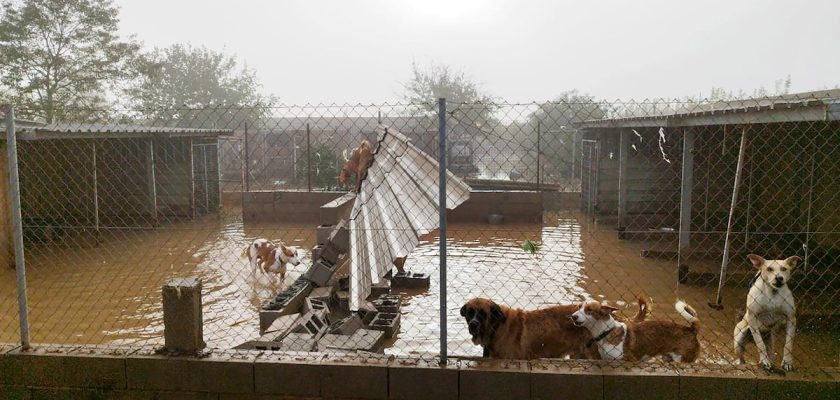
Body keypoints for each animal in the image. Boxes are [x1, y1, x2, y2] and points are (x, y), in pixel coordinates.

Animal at [572, 296, 704, 362]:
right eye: (579, 307)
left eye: (589, 310)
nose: (573, 316)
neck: (607, 332)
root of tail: (691, 329)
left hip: (681, 360)